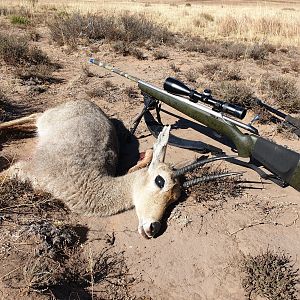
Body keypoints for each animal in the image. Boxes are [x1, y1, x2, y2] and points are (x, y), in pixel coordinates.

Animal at [0, 99, 234, 238]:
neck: (85, 180)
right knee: (33, 116)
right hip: (46, 118)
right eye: (160, 180)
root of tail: (83, 100)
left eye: (176, 198)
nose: (153, 228)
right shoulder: (22, 168)